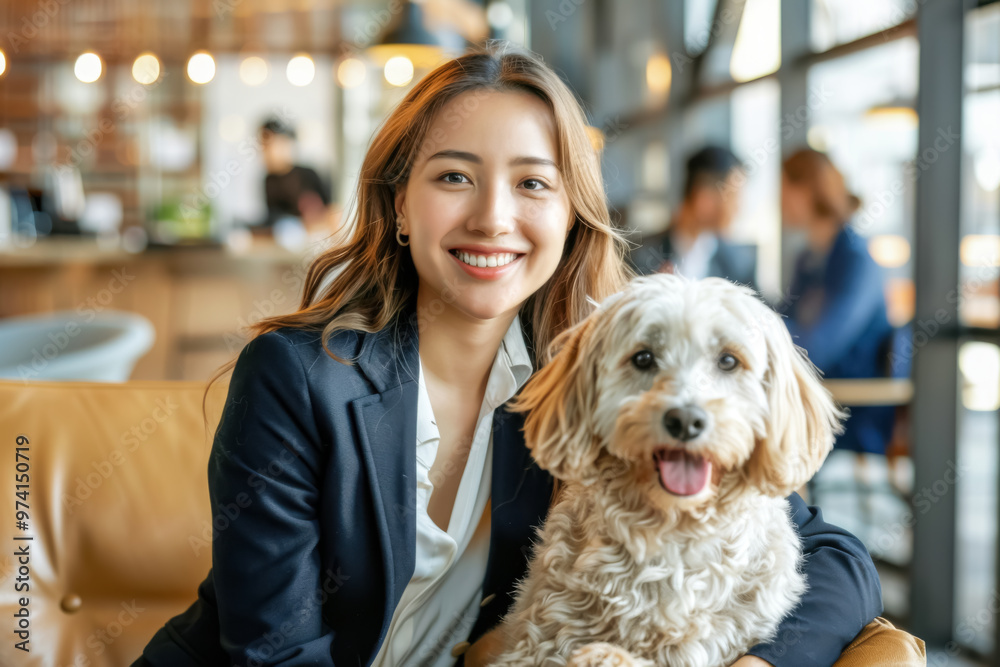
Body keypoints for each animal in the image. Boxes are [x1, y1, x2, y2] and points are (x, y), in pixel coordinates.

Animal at [492, 272, 844, 667]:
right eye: (643, 358)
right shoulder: (538, 637)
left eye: (728, 360)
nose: (686, 420)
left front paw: (605, 656)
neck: (670, 527)